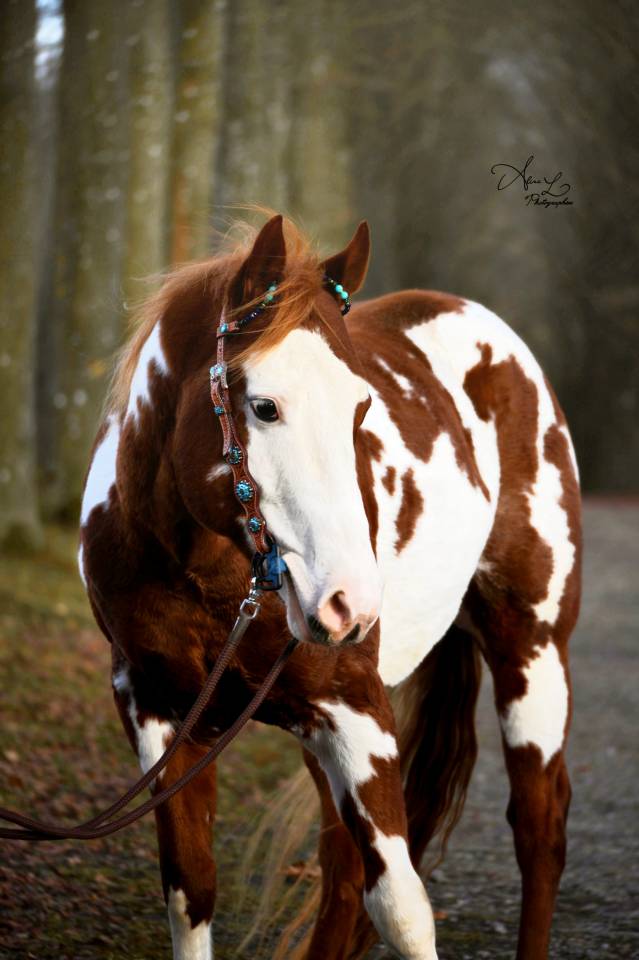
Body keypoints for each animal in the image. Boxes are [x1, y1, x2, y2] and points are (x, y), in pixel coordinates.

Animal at [79, 214, 581, 960]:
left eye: (360, 409)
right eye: (263, 406)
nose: (350, 603)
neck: (207, 575)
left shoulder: (355, 711)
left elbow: (403, 909)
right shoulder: (157, 708)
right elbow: (191, 890)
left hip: (533, 650)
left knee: (538, 831)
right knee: (343, 874)